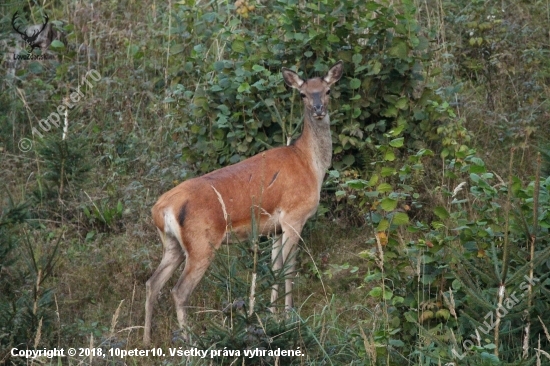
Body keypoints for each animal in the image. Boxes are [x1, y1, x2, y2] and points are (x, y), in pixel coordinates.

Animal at [144, 60, 342, 346]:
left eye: (327, 90)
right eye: (303, 94)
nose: (318, 109)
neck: (310, 165)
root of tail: (160, 209)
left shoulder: (275, 227)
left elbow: (275, 267)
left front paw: (271, 316)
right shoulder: (295, 216)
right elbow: (289, 268)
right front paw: (289, 316)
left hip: (172, 244)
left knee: (152, 283)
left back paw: (146, 339)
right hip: (201, 243)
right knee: (179, 291)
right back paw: (191, 342)